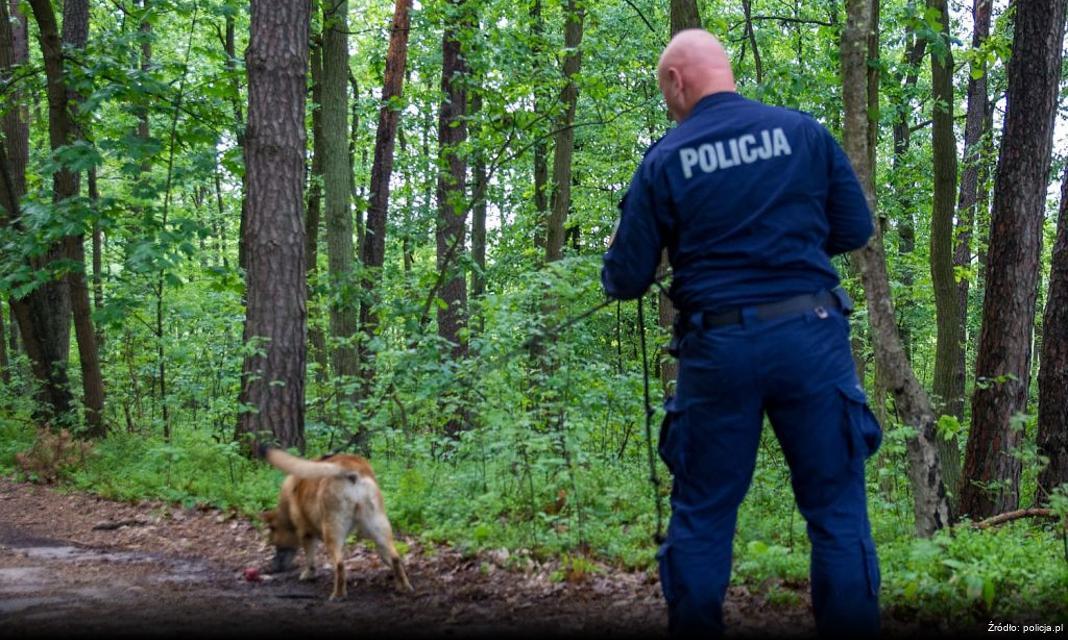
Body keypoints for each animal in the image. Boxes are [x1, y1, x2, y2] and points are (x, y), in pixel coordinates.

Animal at [260, 448, 410, 598]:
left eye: (274, 544)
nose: (273, 568)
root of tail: (349, 467)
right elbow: (388, 557)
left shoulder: (306, 534)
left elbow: (310, 560)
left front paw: (308, 574)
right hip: (379, 527)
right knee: (395, 557)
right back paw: (404, 586)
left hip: (332, 532)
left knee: (339, 565)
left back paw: (338, 595)